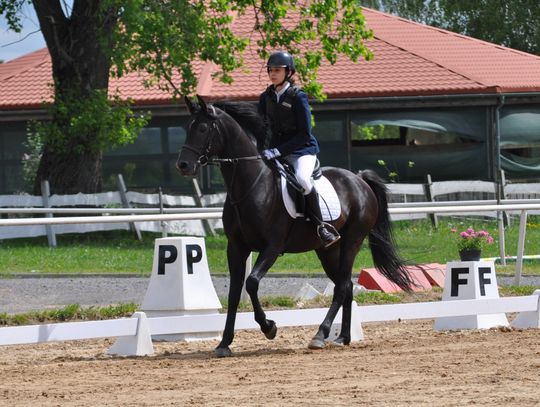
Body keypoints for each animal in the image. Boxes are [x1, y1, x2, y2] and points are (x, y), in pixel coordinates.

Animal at [177, 95, 414, 356]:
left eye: (202, 128)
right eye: (187, 127)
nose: (183, 165)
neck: (251, 185)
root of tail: (359, 179)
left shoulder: (272, 246)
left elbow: (252, 283)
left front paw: (269, 327)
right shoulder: (236, 247)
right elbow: (234, 293)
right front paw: (224, 344)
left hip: (352, 240)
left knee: (342, 286)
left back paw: (320, 335)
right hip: (327, 250)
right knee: (346, 286)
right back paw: (342, 337)